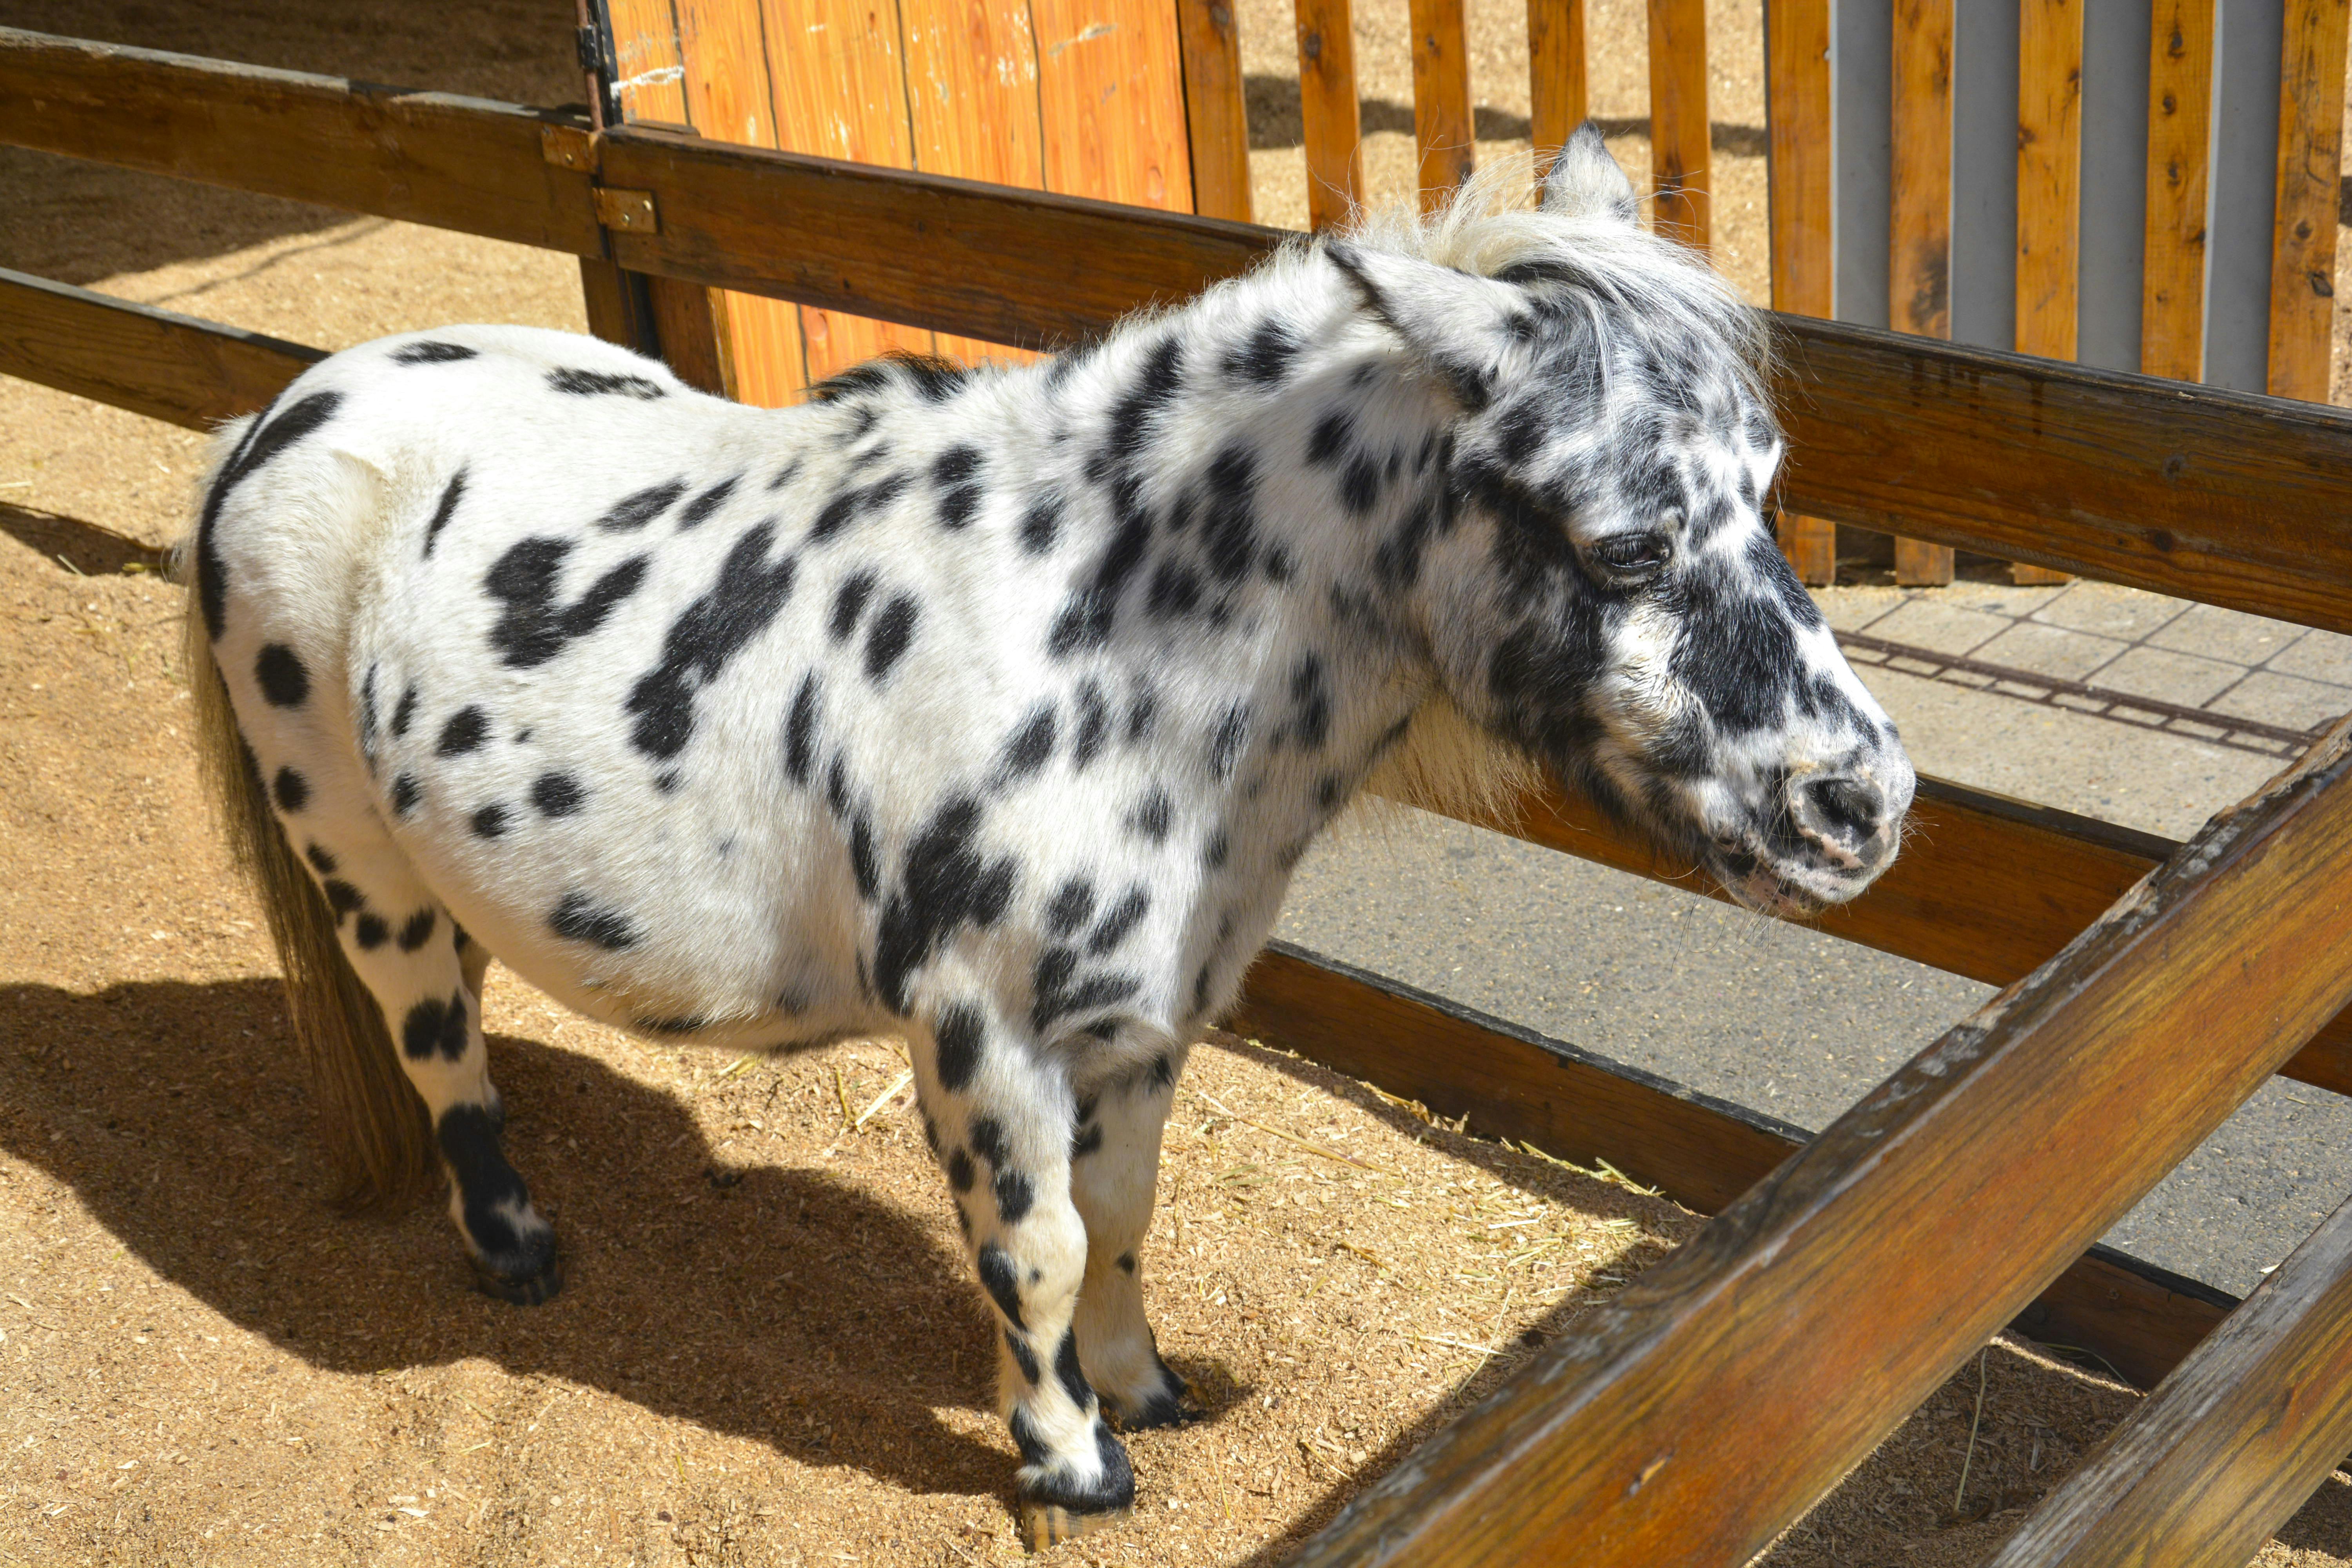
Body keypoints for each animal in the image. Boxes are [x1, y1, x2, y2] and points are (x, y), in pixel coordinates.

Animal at [179, 129, 1910, 1552]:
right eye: (1624, 545)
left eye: (1767, 489)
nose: (1864, 806)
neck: (1096, 649)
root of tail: (280, 411)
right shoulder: (983, 1034)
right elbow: (1039, 1252)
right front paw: (1072, 1464)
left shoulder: (1139, 1027)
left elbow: (1122, 1222)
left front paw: (1143, 1394)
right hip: (358, 867)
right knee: (431, 1037)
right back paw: (514, 1243)